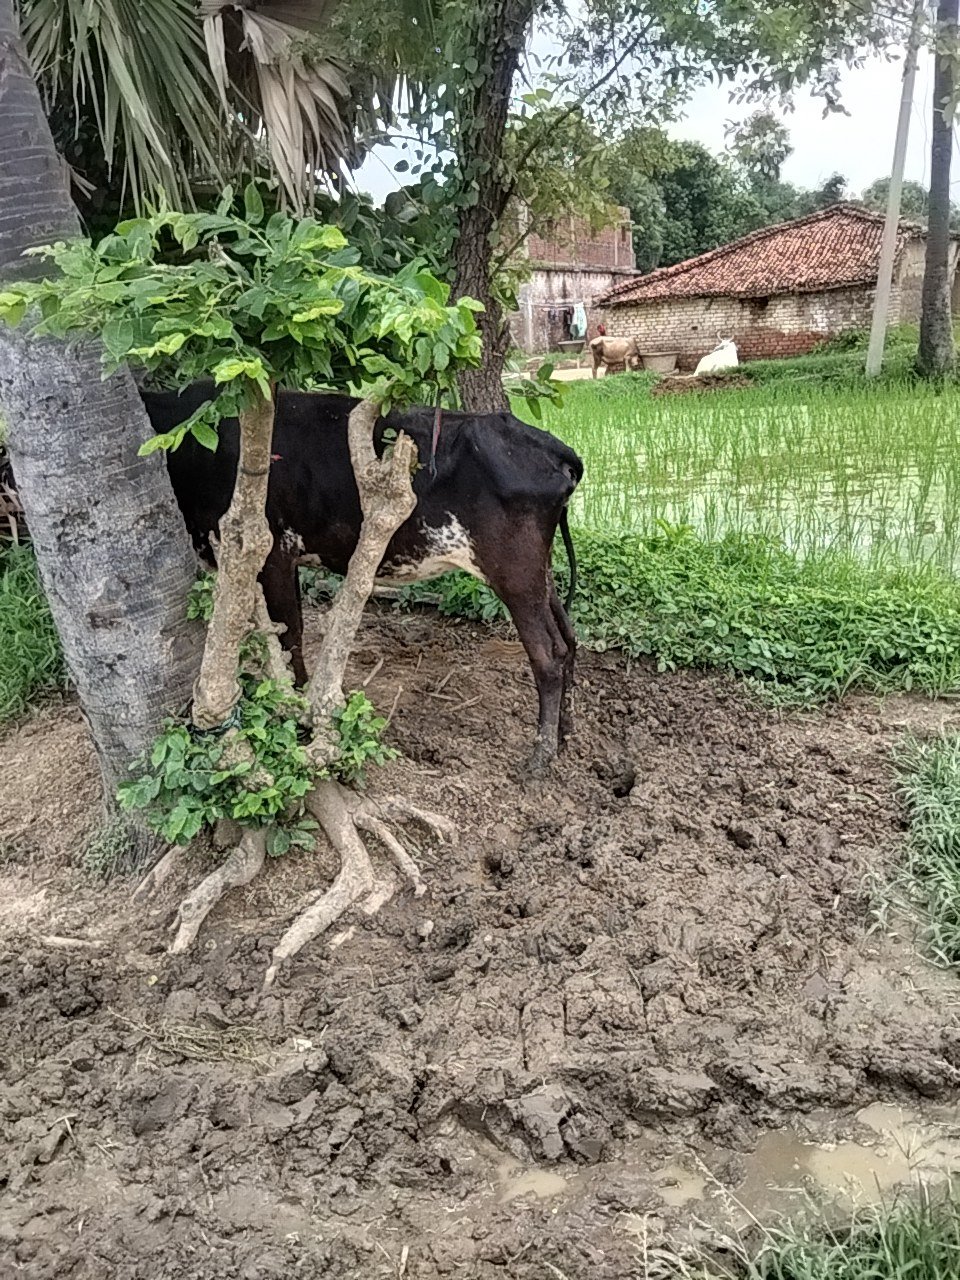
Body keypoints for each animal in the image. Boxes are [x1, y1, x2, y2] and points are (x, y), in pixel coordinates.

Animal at [143, 384, 584, 776]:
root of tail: (550, 447)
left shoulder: (271, 552)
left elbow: (290, 636)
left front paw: (297, 711)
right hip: (538, 570)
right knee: (568, 638)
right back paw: (563, 735)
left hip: (513, 570)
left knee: (548, 654)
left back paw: (541, 756)